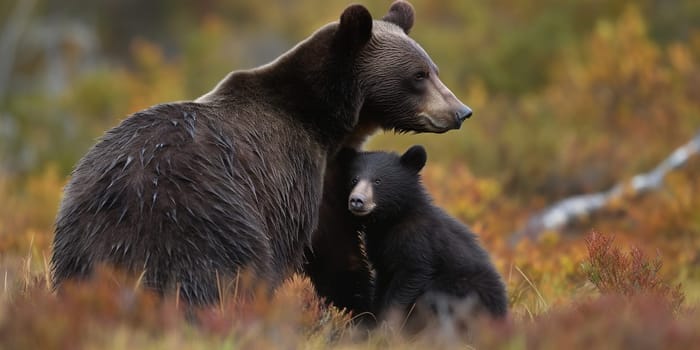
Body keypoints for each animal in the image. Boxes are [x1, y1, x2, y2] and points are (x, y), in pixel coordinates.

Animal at [50, 1, 470, 304]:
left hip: (79, 235)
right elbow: (327, 246)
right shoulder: (292, 172)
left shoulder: (331, 172)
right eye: (418, 75)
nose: (461, 111)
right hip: (199, 216)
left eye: (433, 68)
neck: (326, 121)